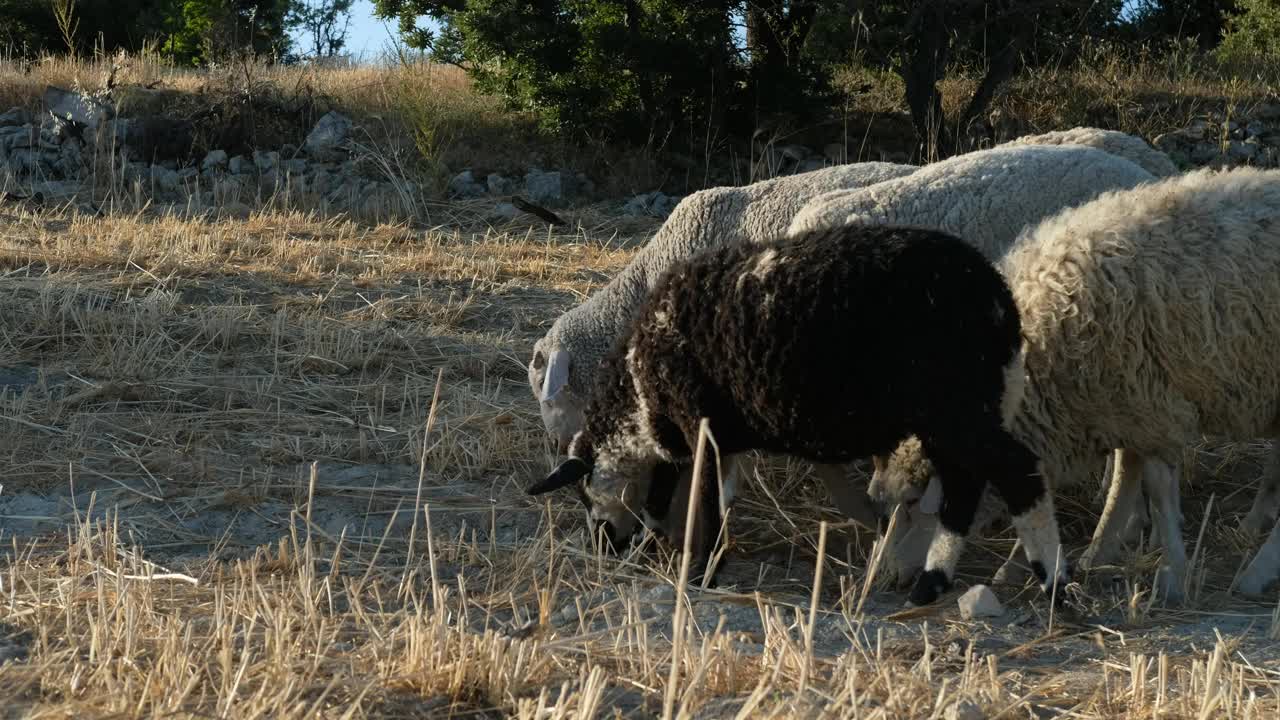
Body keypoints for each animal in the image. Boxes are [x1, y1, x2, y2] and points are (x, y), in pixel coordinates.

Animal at [522, 221, 1070, 602]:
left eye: (584, 495)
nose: (603, 546)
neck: (638, 394)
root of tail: (999, 300)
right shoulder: (697, 436)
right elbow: (680, 496)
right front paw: (671, 549)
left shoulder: (699, 426)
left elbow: (700, 499)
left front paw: (700, 571)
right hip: (953, 413)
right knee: (965, 483)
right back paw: (932, 583)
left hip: (956, 403)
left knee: (1016, 469)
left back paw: (1053, 583)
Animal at [870, 165, 1280, 597]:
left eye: (912, 503)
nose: (886, 577)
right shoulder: (1121, 405)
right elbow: (1121, 479)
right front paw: (1094, 550)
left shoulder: (1149, 405)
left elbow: (1153, 486)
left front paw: (1173, 571)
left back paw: (1255, 572)